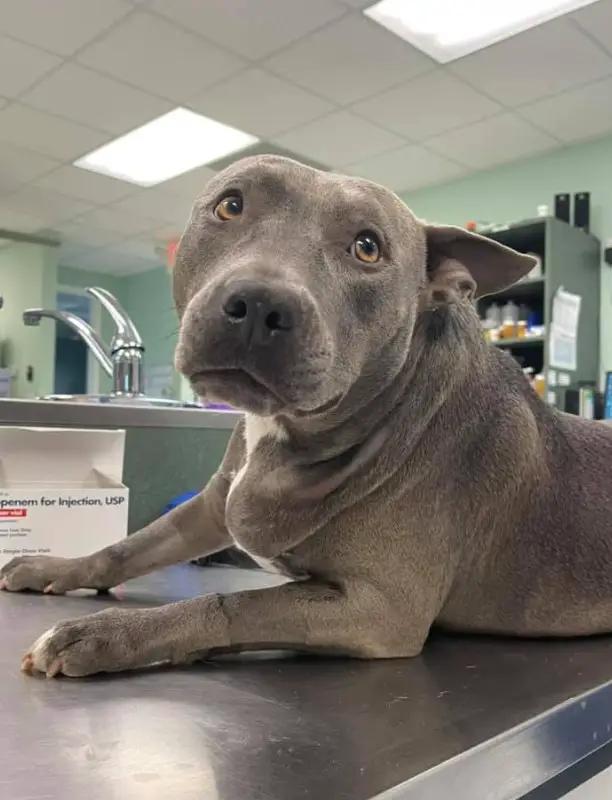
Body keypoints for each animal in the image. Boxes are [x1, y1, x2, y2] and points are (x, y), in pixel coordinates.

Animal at [2, 153, 608, 680]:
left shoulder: (378, 610)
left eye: (368, 247)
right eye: (230, 205)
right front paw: (55, 568)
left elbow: (233, 603)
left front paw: (107, 634)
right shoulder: (214, 506)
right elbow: (126, 547)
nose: (259, 304)